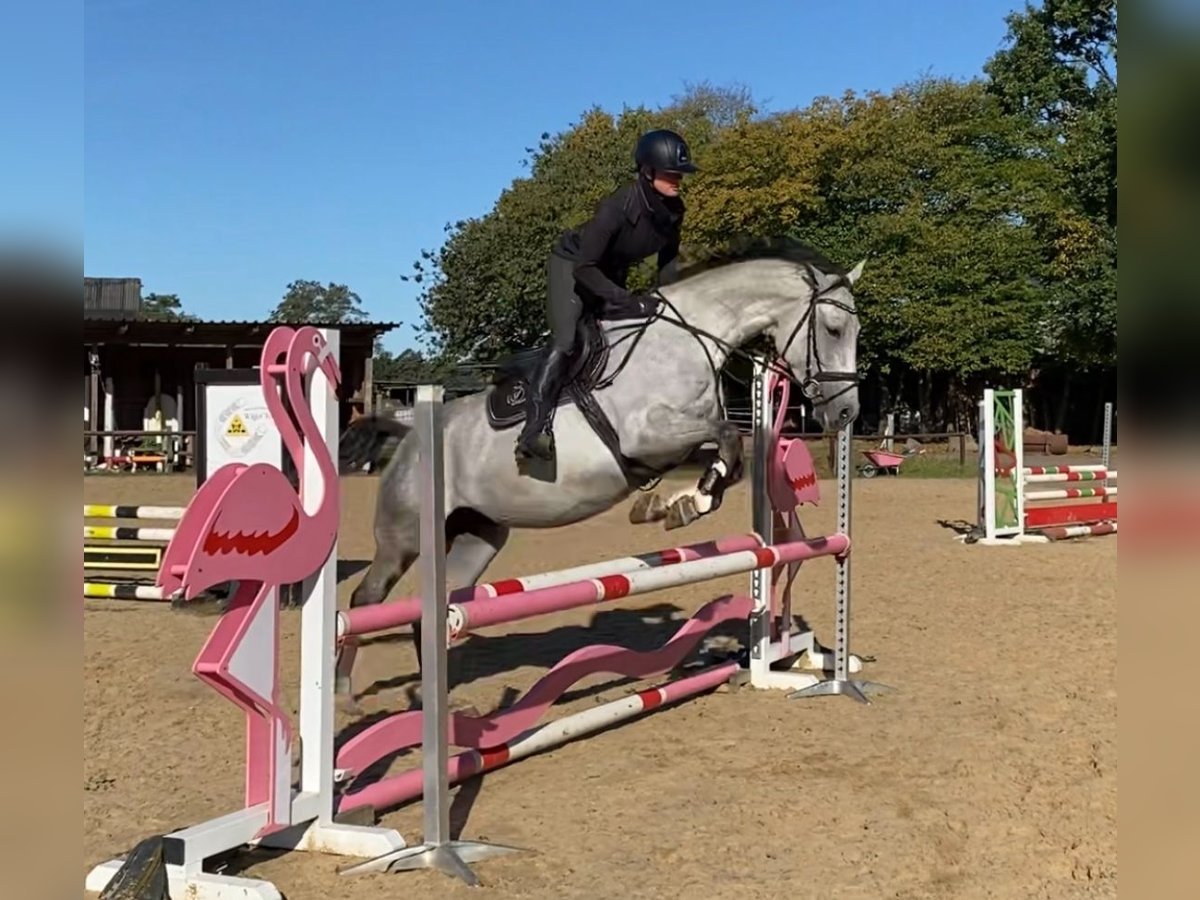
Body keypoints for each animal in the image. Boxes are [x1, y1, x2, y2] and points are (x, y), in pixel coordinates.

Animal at [336, 237, 864, 693]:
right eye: (834, 329)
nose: (846, 413)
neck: (687, 342)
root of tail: (409, 435)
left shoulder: (677, 442)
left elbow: (728, 458)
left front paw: (675, 505)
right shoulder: (646, 435)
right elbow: (728, 439)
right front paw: (681, 505)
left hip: (476, 538)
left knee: (436, 608)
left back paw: (442, 697)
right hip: (404, 537)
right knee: (366, 599)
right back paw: (344, 690)